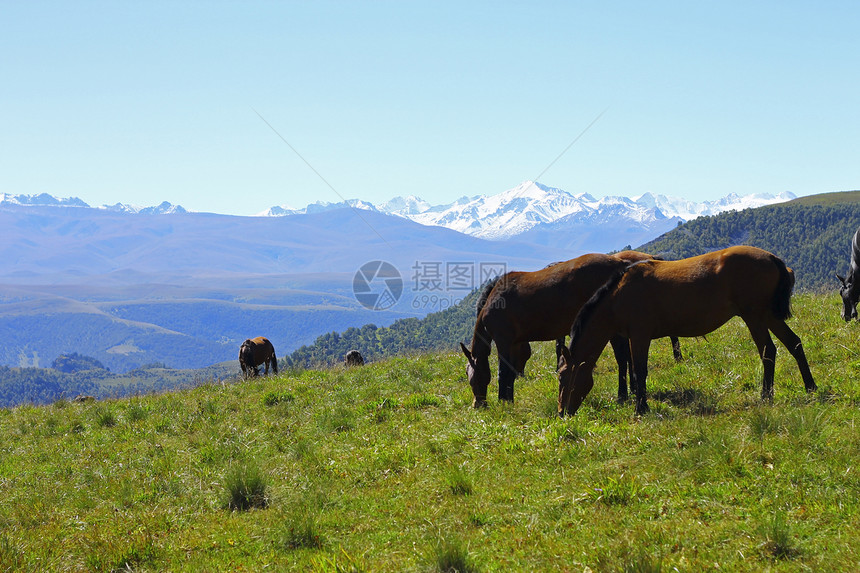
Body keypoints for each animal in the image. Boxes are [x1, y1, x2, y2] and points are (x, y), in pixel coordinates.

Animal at [460, 250, 680, 406]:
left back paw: (622, 395)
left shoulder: (504, 341)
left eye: (471, 377)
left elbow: (503, 373)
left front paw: (503, 402)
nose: (477, 404)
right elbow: (511, 373)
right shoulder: (516, 343)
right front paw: (508, 399)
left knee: (622, 357)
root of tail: (621, 264)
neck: (494, 301)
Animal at [556, 246, 816, 416]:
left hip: (755, 317)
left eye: (562, 377)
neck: (619, 295)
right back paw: (810, 387)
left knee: (768, 351)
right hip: (768, 316)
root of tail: (772, 258)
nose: (561, 412)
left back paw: (766, 396)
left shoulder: (639, 336)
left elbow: (639, 370)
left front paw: (641, 407)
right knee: (794, 343)